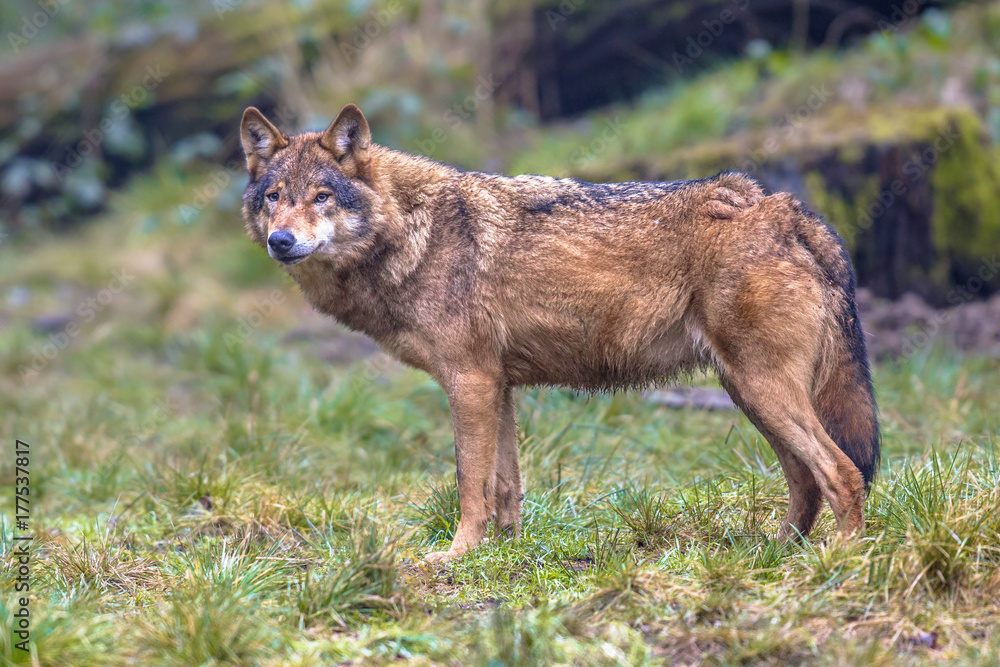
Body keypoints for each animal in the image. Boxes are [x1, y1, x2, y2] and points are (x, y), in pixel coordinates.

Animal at [239, 104, 880, 563]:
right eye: (273, 197)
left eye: (322, 197)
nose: (280, 241)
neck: (412, 234)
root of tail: (786, 207)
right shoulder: (497, 386)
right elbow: (505, 488)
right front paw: (504, 553)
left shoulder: (469, 382)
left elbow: (469, 483)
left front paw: (456, 555)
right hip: (748, 393)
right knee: (805, 480)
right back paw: (777, 554)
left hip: (762, 390)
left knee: (842, 472)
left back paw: (839, 561)